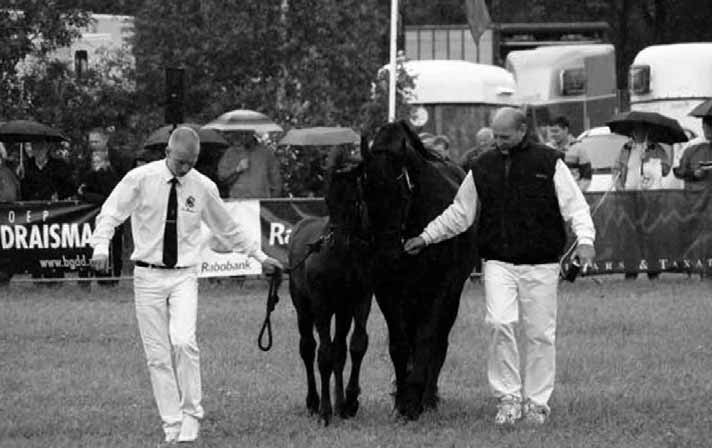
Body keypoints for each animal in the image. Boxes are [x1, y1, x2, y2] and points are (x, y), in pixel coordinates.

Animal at [286, 159, 372, 426]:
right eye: (327, 200)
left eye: (354, 200)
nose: (337, 241)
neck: (343, 258)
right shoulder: (321, 305)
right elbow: (323, 355)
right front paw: (325, 411)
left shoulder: (360, 300)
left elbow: (356, 346)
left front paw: (350, 402)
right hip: (303, 308)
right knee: (308, 348)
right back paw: (313, 402)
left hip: (342, 312)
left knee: (339, 351)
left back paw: (340, 402)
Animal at [362, 120, 478, 420]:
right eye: (365, 195)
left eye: (402, 194)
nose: (387, 255)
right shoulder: (387, 291)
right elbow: (400, 343)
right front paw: (402, 400)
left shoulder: (438, 289)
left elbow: (427, 339)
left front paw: (415, 401)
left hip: (450, 297)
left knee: (439, 341)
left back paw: (428, 397)